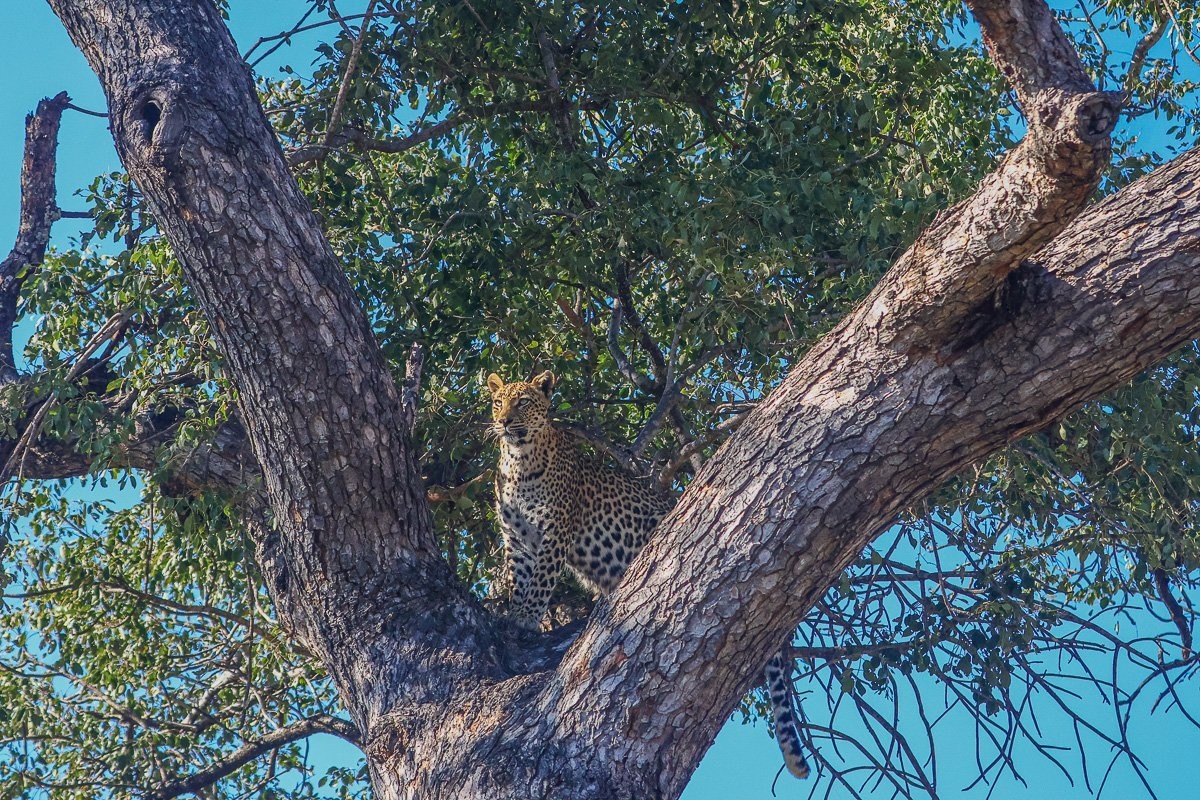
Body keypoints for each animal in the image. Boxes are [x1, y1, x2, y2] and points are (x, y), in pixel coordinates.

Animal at [487, 370, 811, 780]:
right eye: (498, 403)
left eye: (524, 402)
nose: (504, 422)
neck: (518, 462)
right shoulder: (516, 541)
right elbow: (520, 582)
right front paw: (515, 614)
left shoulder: (554, 533)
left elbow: (541, 582)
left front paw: (527, 619)